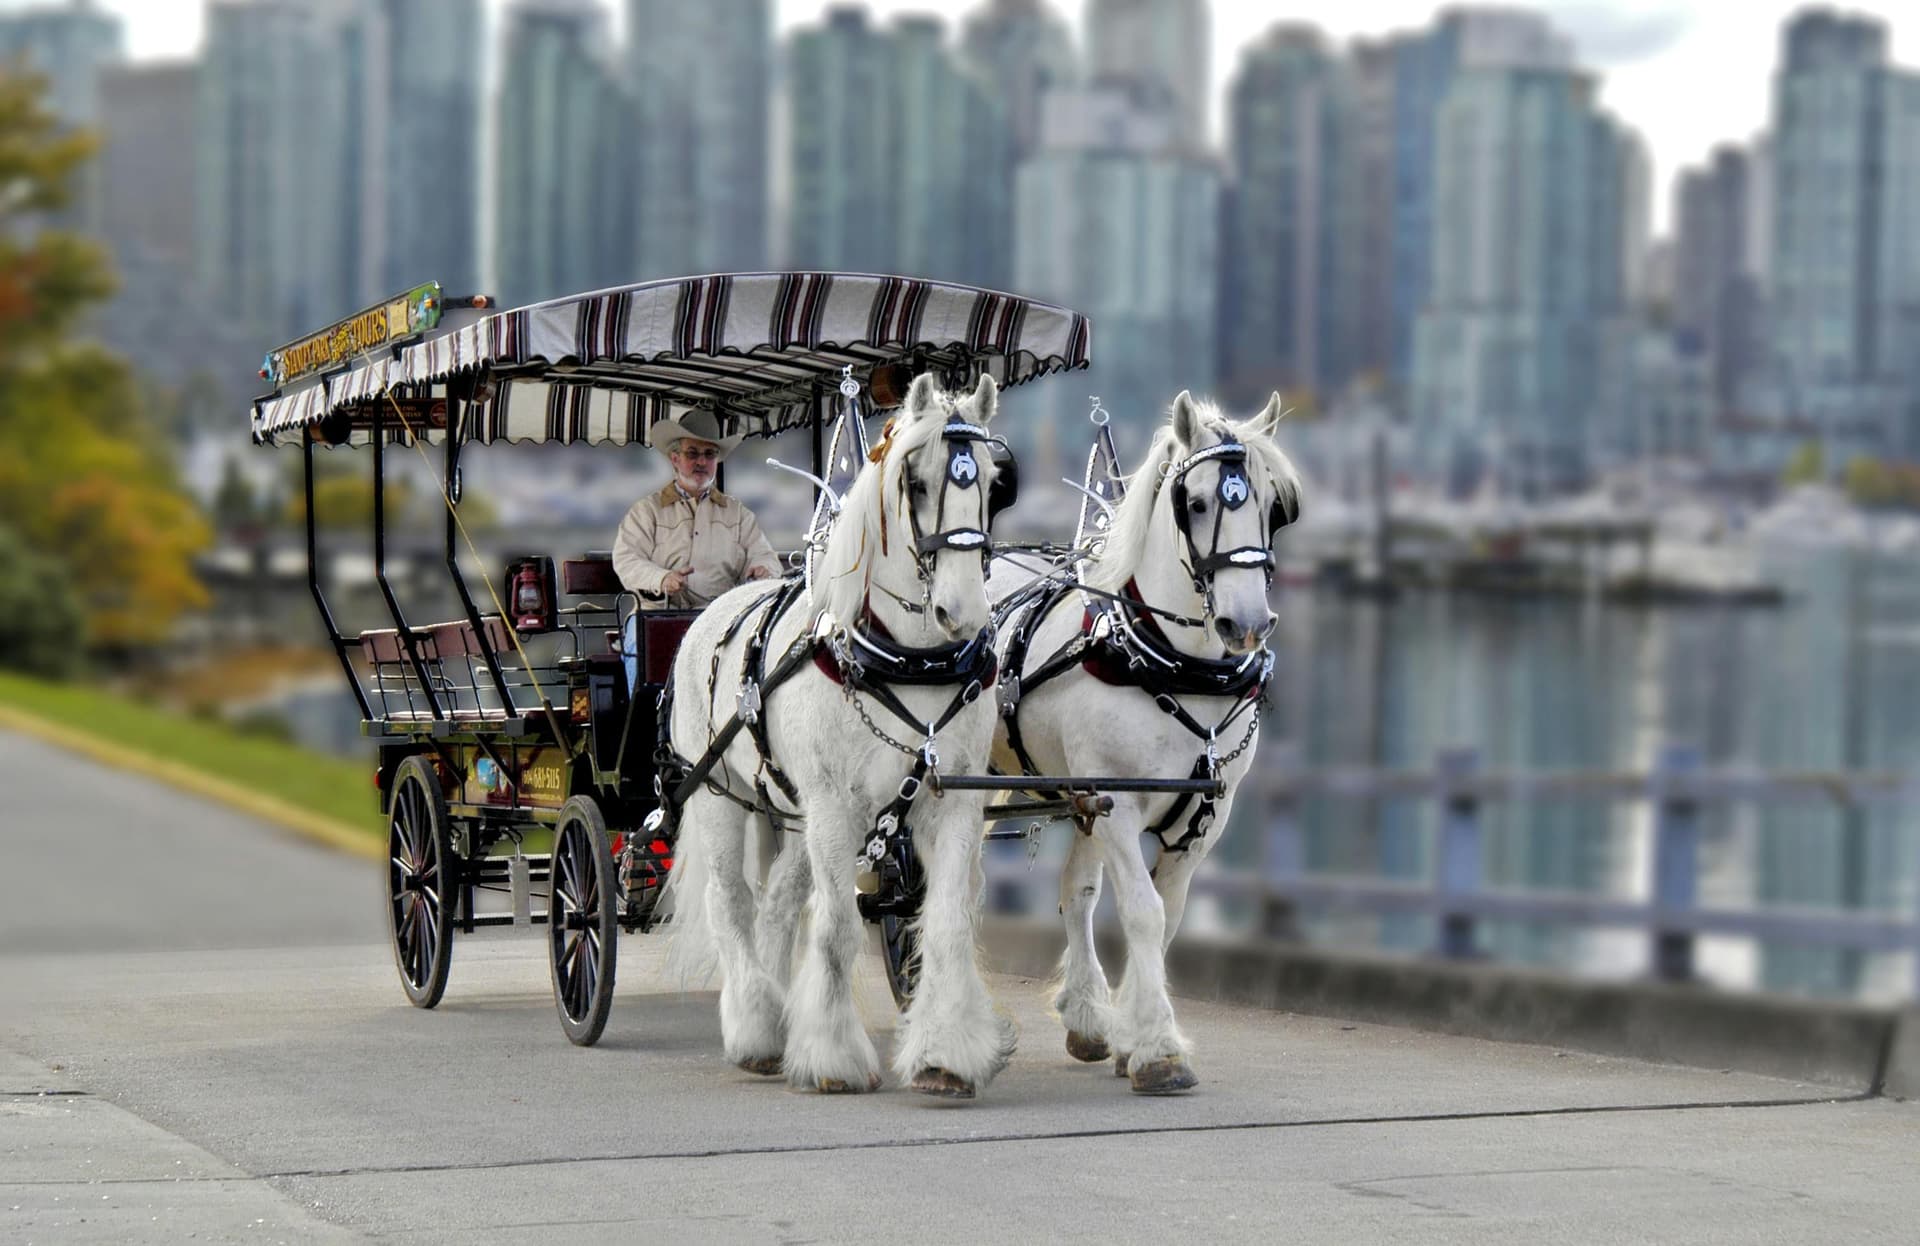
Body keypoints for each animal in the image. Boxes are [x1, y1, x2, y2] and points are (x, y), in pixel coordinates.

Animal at [662, 372, 1015, 1098]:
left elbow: (943, 924)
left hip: (792, 811)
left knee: (776, 905)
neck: (905, 661)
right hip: (719, 794)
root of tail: (711, 610)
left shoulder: (950, 802)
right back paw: (756, 1027)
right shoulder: (834, 805)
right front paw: (830, 1055)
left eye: (995, 483)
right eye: (916, 482)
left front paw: (944, 1053)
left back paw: (775, 1017)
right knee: (731, 902)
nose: (964, 612)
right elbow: (834, 932)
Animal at [990, 390, 1301, 1093]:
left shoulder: (1204, 816)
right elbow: (1143, 911)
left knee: (1074, 892)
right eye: (1198, 502)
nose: (1247, 624)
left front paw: (1135, 1037)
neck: (1169, 663)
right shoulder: (1120, 802)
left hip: (1077, 794)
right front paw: (1159, 1048)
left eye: (1274, 507)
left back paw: (1084, 1017)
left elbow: (1167, 917)